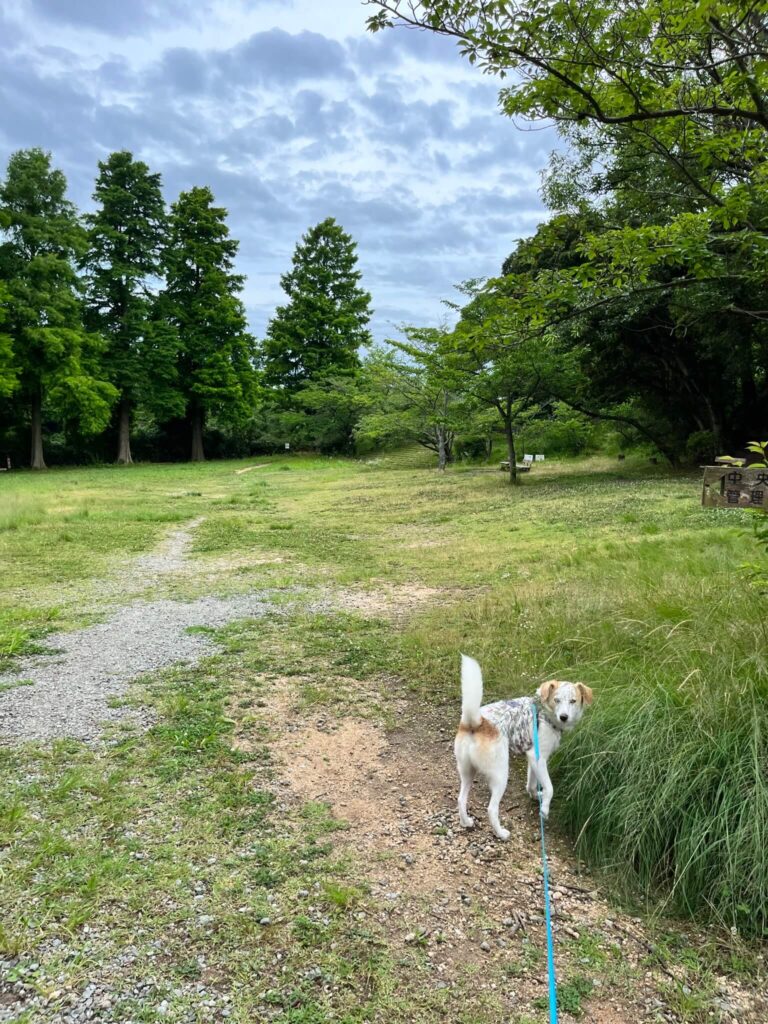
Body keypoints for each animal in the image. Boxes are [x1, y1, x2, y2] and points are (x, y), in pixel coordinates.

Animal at [456, 655, 593, 839]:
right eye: (556, 700)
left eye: (573, 701)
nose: (564, 717)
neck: (544, 712)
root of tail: (476, 723)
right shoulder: (539, 759)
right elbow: (550, 788)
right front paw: (544, 809)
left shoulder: (532, 760)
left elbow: (532, 783)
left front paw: (536, 796)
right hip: (500, 775)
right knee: (491, 809)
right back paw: (501, 833)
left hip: (467, 773)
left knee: (461, 799)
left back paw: (466, 822)